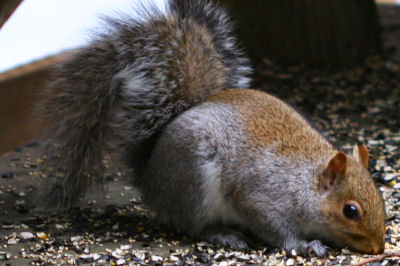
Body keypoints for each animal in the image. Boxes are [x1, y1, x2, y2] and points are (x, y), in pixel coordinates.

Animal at [39, 0, 386, 256]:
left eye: (380, 196)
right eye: (350, 211)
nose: (377, 248)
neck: (305, 182)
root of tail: (150, 178)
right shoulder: (262, 197)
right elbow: (275, 227)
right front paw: (304, 244)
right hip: (194, 180)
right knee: (192, 224)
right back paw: (222, 234)